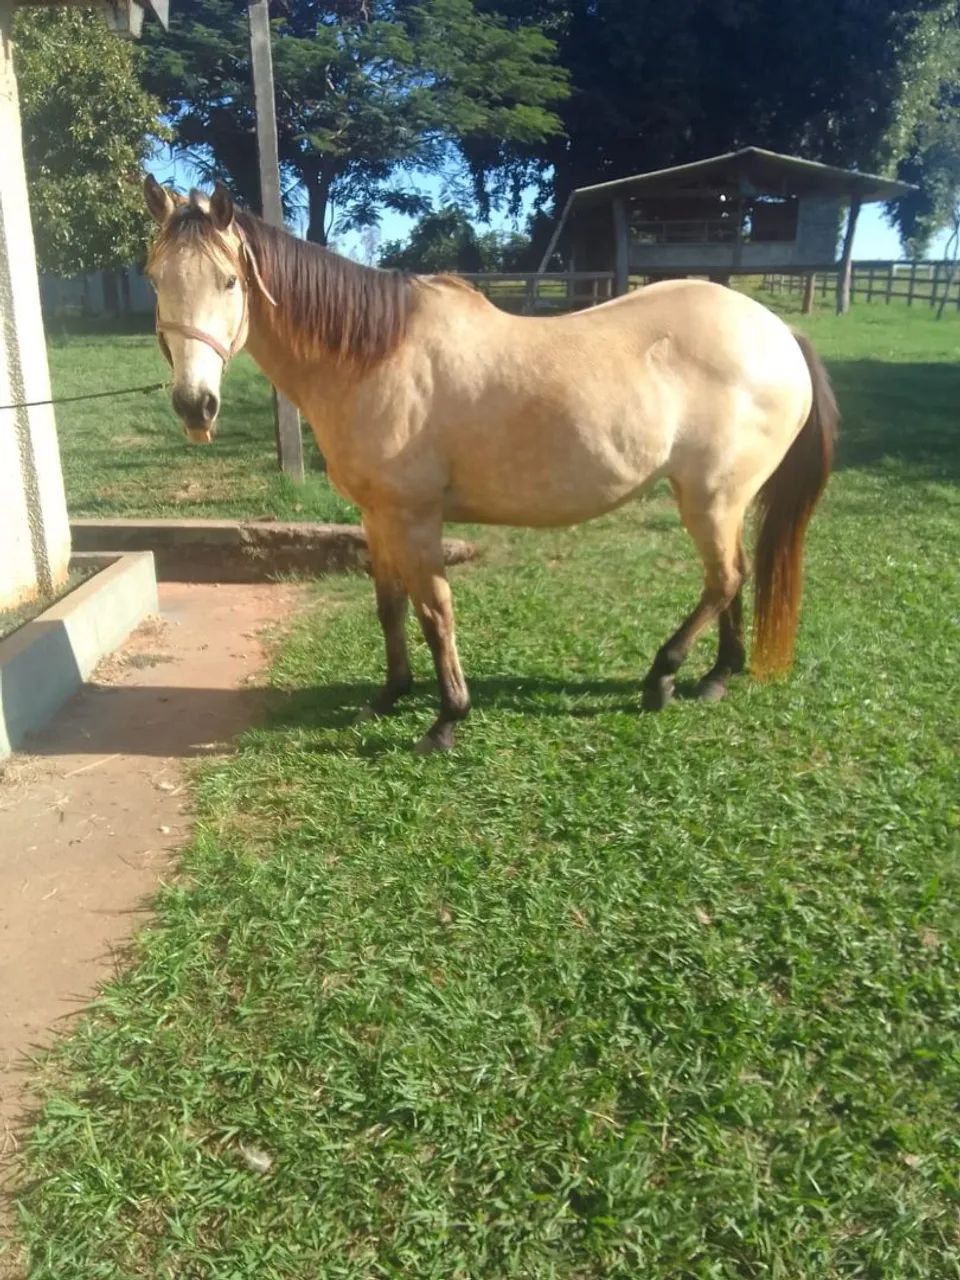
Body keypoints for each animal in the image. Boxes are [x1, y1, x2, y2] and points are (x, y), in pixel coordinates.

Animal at [143, 177, 837, 753]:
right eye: (155, 279)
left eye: (229, 282)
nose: (195, 405)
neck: (374, 356)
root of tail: (779, 333)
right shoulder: (376, 517)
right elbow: (390, 607)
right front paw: (389, 696)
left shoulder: (416, 519)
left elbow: (435, 612)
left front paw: (447, 719)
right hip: (720, 500)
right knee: (733, 578)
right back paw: (717, 675)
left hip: (711, 497)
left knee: (724, 579)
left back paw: (662, 677)